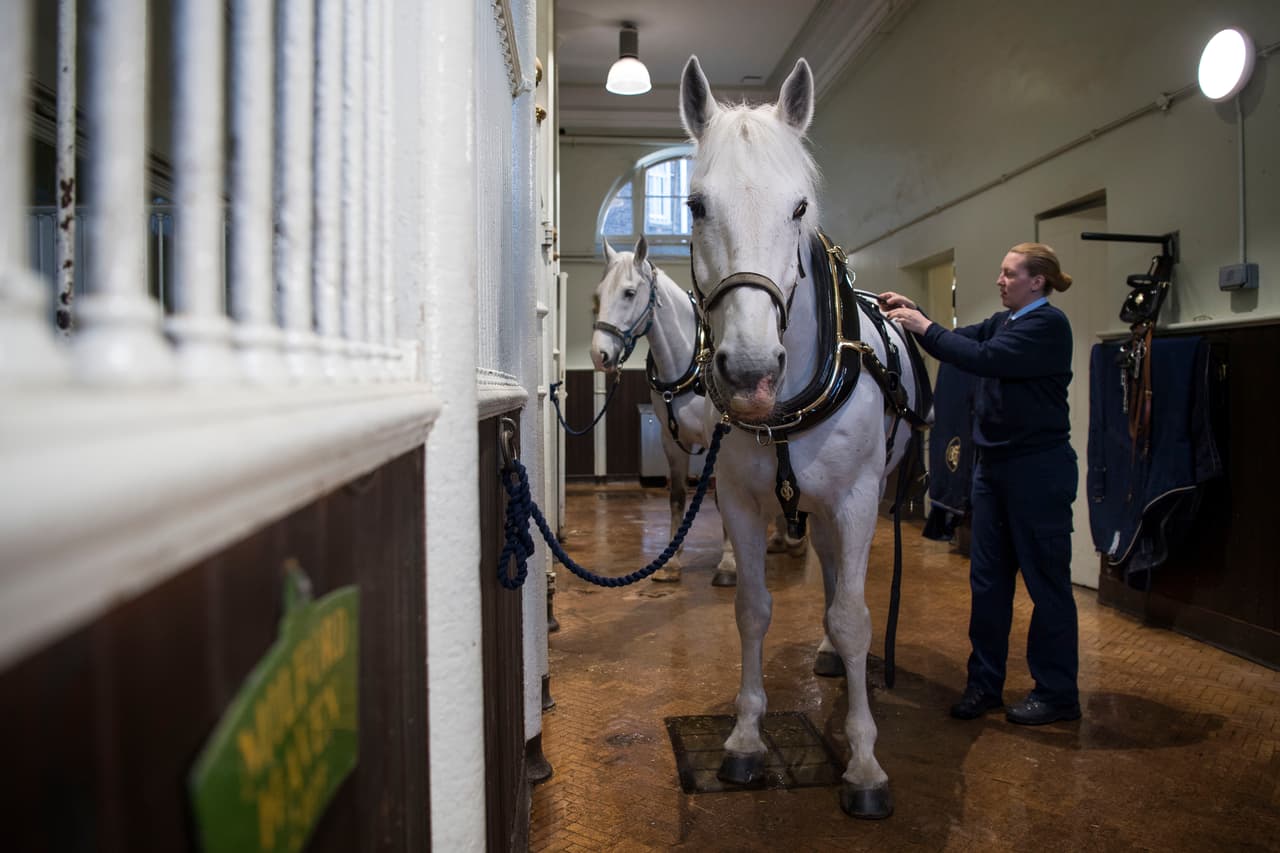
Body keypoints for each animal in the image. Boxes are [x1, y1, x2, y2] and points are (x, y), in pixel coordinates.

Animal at [679, 54, 928, 818]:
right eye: (694, 205)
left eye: (798, 208)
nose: (751, 373)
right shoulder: (738, 500)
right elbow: (753, 608)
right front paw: (745, 737)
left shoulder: (856, 499)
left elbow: (854, 618)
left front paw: (866, 762)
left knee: (844, 592)